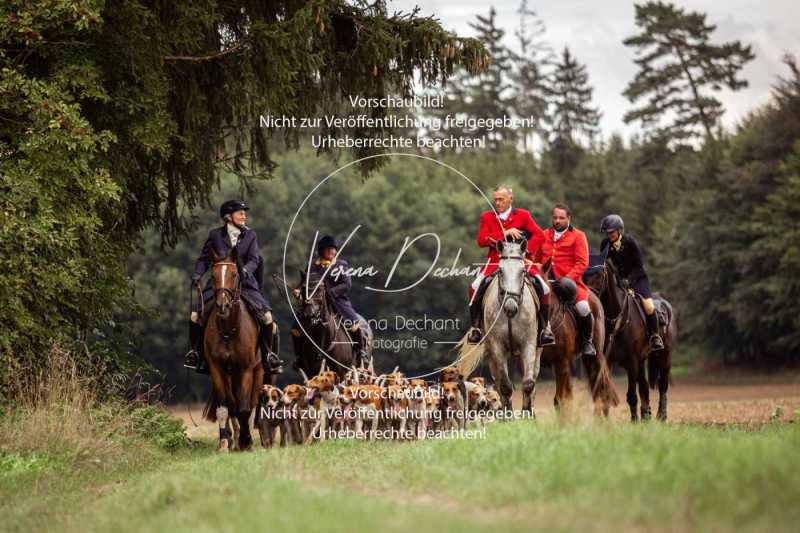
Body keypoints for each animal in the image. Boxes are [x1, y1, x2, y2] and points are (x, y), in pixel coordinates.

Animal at [202, 251, 264, 450]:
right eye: (213, 275)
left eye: (235, 274)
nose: (223, 306)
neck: (229, 331)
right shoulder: (217, 369)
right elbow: (225, 408)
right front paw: (225, 442)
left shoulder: (245, 369)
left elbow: (244, 409)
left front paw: (247, 441)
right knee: (232, 405)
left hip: (258, 371)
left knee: (251, 404)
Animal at [584, 258, 680, 420]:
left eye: (599, 274)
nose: (589, 300)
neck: (617, 321)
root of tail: (664, 302)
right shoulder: (608, 361)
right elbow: (606, 391)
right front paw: (605, 419)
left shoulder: (632, 363)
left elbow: (632, 395)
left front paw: (634, 421)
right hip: (642, 361)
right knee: (645, 387)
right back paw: (646, 415)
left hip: (664, 356)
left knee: (662, 385)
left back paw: (661, 415)